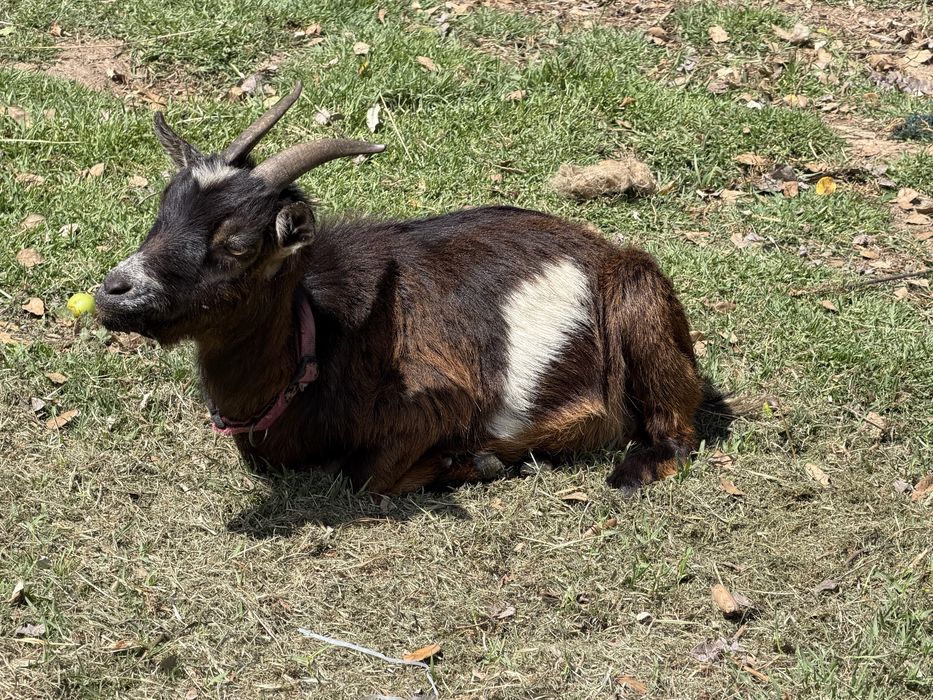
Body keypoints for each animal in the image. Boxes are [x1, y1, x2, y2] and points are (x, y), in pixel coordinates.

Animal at [96, 83, 702, 494]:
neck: (322, 343)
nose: (113, 292)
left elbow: (363, 475)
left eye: (239, 244)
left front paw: (472, 462)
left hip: (638, 301)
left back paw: (630, 470)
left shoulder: (440, 400)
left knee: (677, 432)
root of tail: (601, 249)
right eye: (162, 215)